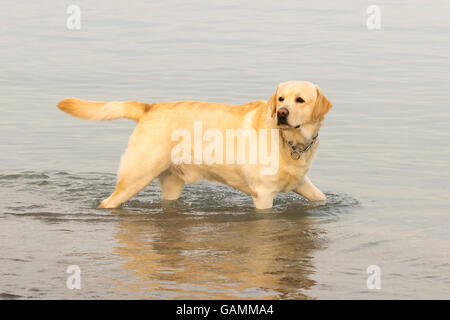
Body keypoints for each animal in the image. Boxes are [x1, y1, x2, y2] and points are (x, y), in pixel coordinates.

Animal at [57, 81, 330, 209]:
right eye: (281, 99)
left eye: (300, 100)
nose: (282, 113)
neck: (290, 143)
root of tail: (148, 107)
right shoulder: (263, 195)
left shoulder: (301, 182)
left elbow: (322, 198)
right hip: (136, 176)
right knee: (108, 202)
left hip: (171, 183)